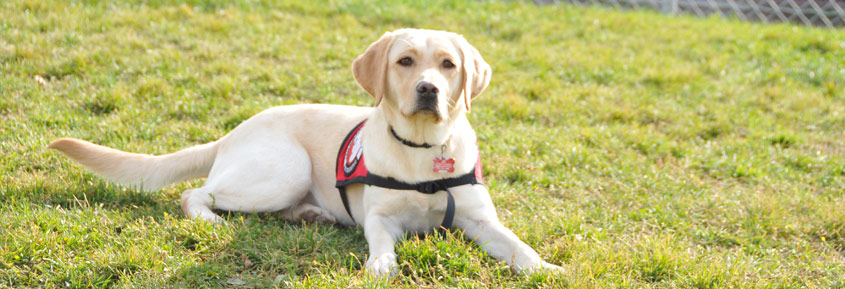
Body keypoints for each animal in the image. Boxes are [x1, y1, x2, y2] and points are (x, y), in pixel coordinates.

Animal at [49, 28, 564, 276]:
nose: (428, 89)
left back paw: (310, 215)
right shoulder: (380, 219)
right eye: (405, 61)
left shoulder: (481, 222)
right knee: (193, 195)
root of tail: (233, 132)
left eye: (448, 65)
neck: (422, 149)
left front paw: (547, 268)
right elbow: (381, 242)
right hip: (285, 170)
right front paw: (381, 264)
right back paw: (215, 220)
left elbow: (520, 247)